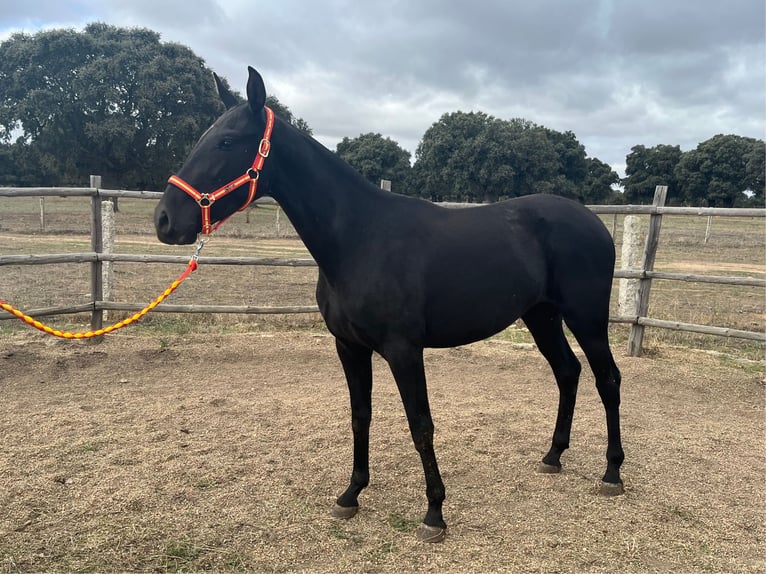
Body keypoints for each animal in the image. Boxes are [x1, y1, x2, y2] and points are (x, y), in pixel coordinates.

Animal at [154, 67, 624, 544]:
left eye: (227, 142)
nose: (165, 220)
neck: (360, 238)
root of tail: (593, 222)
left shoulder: (403, 350)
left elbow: (420, 424)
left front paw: (434, 513)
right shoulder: (349, 346)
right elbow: (360, 415)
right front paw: (351, 495)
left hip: (586, 317)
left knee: (607, 378)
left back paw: (612, 474)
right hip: (541, 315)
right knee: (567, 372)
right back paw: (553, 456)